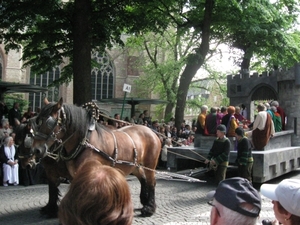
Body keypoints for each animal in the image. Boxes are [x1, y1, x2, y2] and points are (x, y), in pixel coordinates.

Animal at [30, 97, 162, 217]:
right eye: (38, 121)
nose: (36, 150)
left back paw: (149, 208)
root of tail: (150, 130)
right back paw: (144, 201)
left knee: (151, 182)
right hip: (135, 165)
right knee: (143, 178)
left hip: (150, 164)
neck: (85, 141)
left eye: (49, 123)